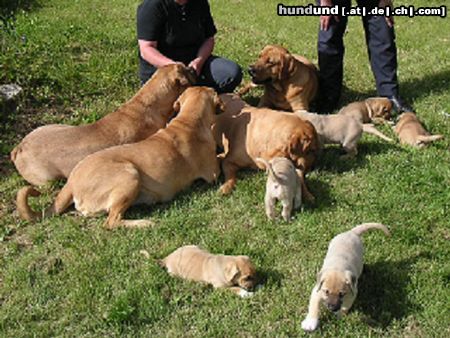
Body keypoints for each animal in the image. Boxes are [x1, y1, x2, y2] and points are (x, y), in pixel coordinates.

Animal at [16, 87, 223, 230]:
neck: (189, 120)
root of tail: (71, 183)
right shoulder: (213, 173)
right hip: (129, 175)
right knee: (111, 222)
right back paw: (144, 223)